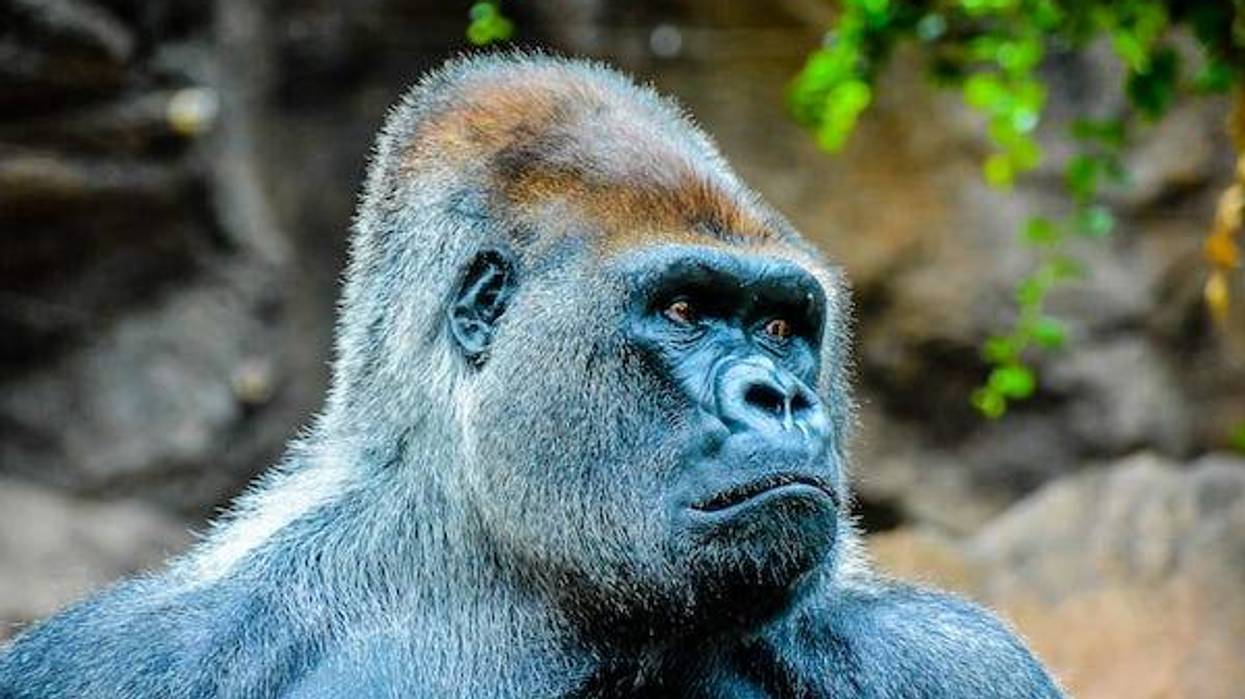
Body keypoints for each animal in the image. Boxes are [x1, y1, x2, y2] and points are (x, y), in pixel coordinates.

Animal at [0, 53, 1063, 698]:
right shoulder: (119, 657)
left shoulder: (957, 660)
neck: (498, 575)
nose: (784, 395)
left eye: (778, 325)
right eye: (684, 310)